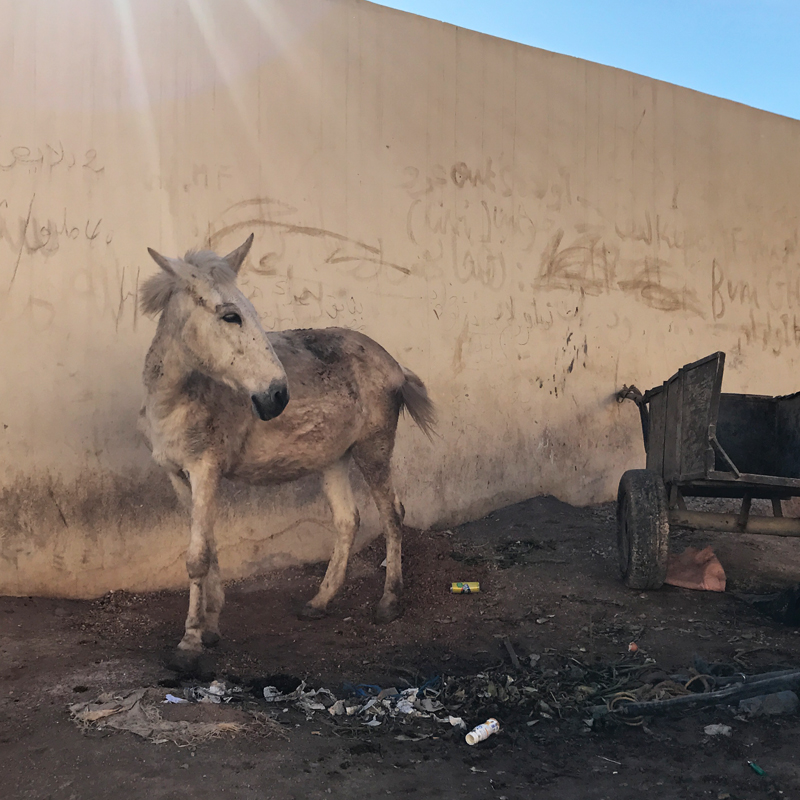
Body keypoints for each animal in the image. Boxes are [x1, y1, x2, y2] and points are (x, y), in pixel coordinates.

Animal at [138, 234, 436, 654]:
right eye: (231, 316)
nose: (278, 396)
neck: (176, 400)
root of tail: (393, 363)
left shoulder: (205, 471)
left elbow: (197, 557)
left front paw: (191, 642)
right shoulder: (180, 476)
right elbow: (208, 546)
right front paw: (210, 626)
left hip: (373, 449)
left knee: (393, 514)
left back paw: (390, 602)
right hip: (334, 457)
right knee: (348, 520)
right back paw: (320, 602)